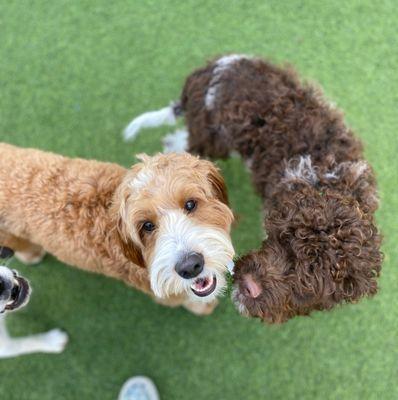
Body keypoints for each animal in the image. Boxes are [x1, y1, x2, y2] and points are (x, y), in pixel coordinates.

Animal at [126, 54, 384, 322]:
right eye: (282, 240)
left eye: (308, 282)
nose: (250, 286)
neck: (326, 180)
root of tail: (209, 71)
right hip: (211, 135)